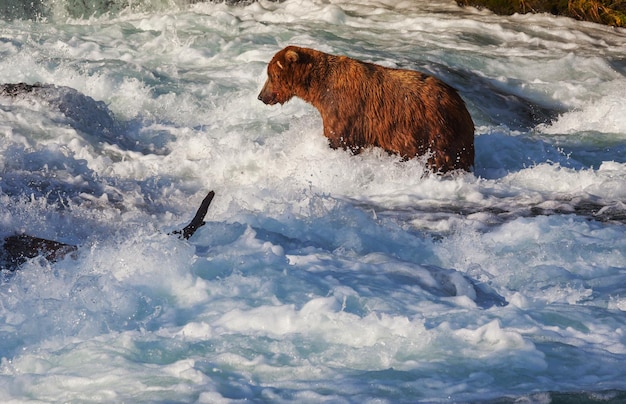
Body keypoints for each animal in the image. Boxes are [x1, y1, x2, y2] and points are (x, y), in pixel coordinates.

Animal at [258, 45, 472, 172]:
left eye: (270, 75)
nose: (261, 96)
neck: (320, 88)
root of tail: (460, 101)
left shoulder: (345, 111)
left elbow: (339, 139)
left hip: (436, 131)